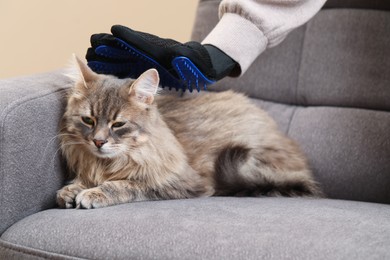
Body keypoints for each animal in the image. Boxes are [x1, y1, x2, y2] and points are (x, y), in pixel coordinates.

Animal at [55, 57, 322, 209]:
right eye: (88, 120)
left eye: (118, 124)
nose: (98, 142)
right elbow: (79, 182)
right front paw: (71, 190)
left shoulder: (181, 182)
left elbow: (125, 184)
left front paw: (94, 193)